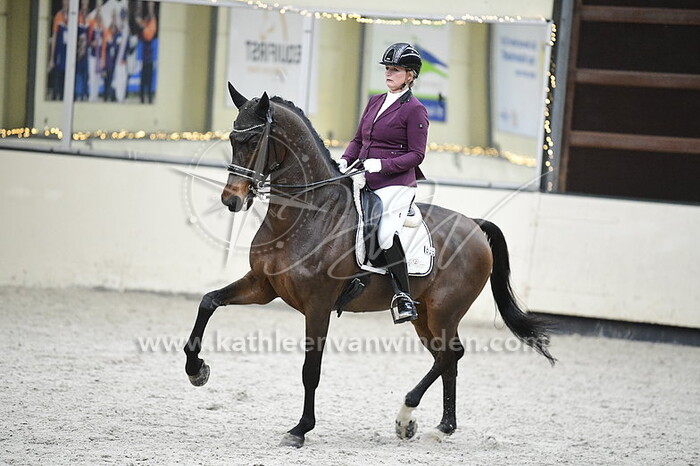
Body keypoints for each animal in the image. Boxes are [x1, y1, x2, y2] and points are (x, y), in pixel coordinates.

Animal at [183, 83, 555, 448]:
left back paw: (407, 416)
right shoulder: (263, 286)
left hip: (444, 311)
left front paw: (301, 428)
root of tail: (474, 226)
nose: (232, 200)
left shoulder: (317, 304)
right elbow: (208, 301)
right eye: (233, 139)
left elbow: (310, 370)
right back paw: (441, 427)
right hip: (425, 315)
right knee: (446, 358)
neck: (306, 215)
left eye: (253, 141)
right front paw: (196, 369)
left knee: (451, 355)